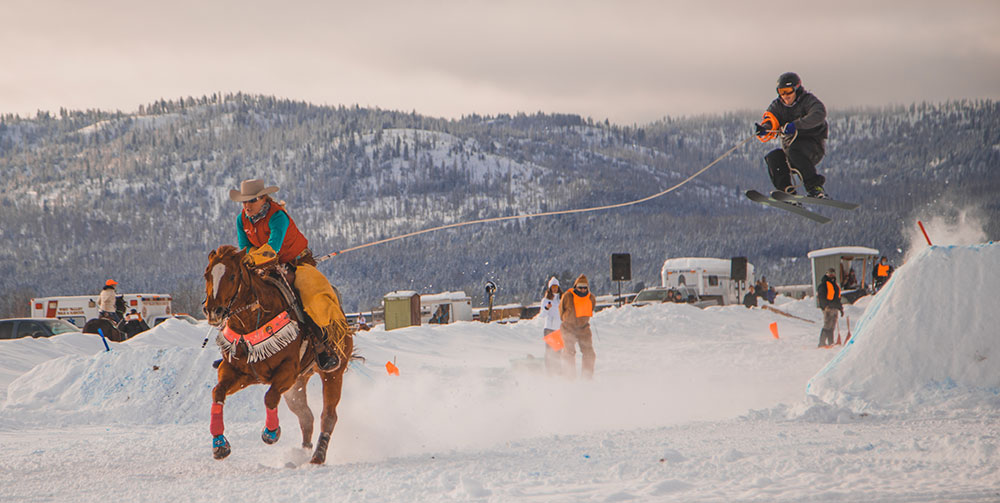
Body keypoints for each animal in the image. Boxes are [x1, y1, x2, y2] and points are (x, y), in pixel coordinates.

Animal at [201, 244, 354, 464]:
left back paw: (317, 455)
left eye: (231, 276)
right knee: (306, 416)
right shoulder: (237, 372)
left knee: (328, 415)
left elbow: (270, 396)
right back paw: (303, 452)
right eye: (207, 274)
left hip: (332, 373)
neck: (251, 323)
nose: (214, 311)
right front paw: (219, 444)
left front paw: (271, 433)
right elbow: (217, 392)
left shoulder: (287, 371)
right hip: (298, 384)